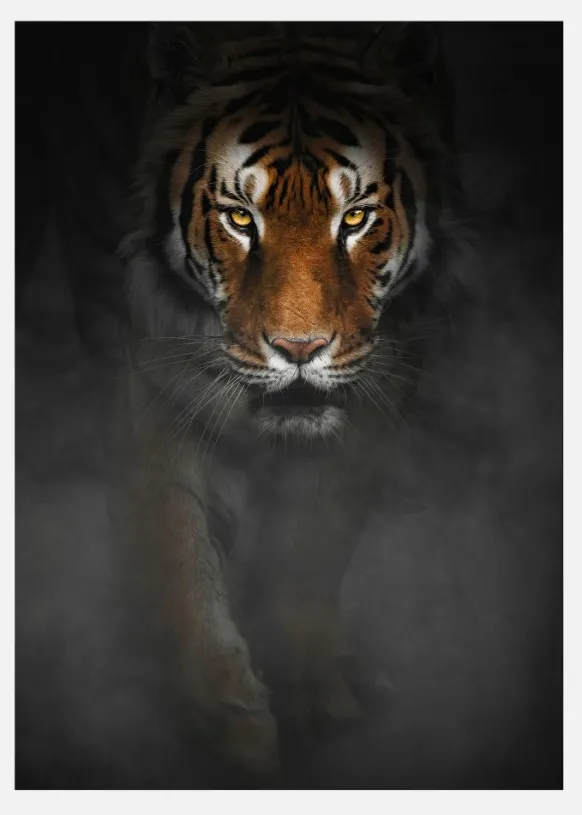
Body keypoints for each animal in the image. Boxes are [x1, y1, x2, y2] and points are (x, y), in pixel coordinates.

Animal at [109, 22, 457, 781]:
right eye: (241, 218)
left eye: (355, 217)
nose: (300, 349)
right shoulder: (163, 389)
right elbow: (180, 554)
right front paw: (230, 722)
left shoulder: (380, 400)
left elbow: (313, 546)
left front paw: (312, 690)